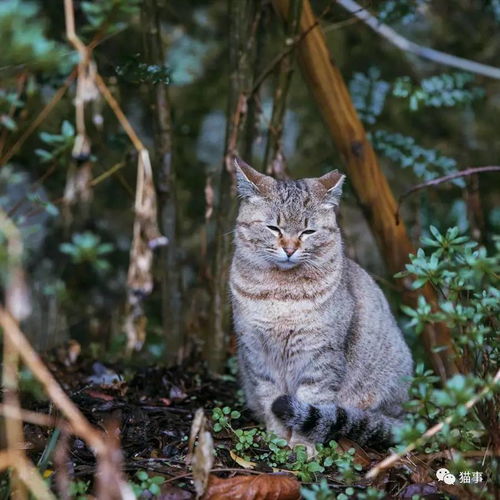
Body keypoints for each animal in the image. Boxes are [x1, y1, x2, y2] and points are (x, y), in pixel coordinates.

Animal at [229, 158, 412, 452]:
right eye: (274, 228)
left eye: (308, 231)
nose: (289, 249)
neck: (280, 293)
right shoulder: (257, 352)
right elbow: (269, 397)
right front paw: (277, 437)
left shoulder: (321, 355)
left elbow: (311, 399)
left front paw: (301, 445)